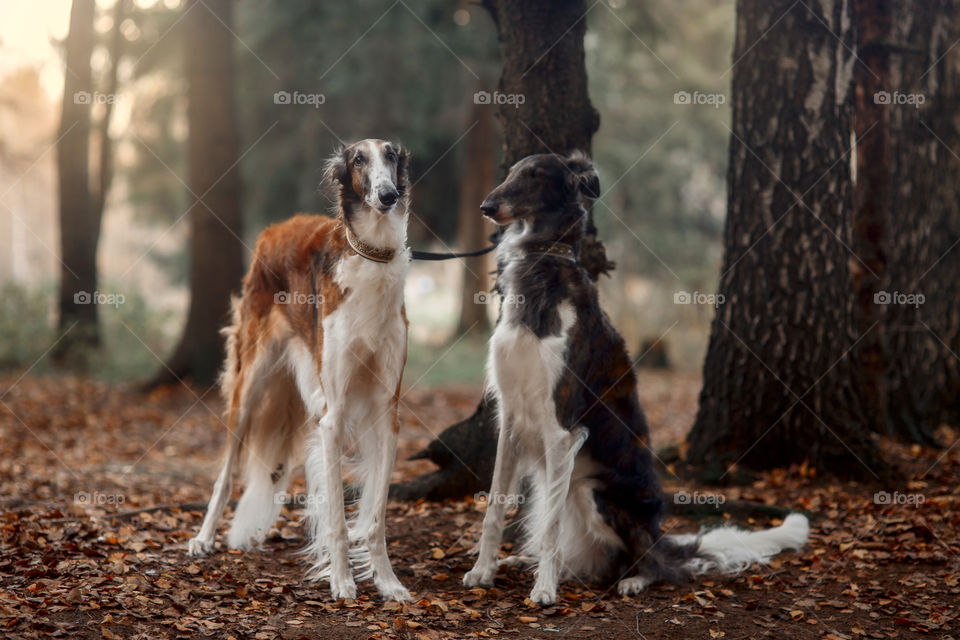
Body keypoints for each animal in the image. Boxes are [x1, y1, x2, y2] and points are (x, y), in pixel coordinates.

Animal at [188, 138, 412, 604]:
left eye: (391, 156)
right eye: (358, 160)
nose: (388, 195)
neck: (372, 257)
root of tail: (273, 230)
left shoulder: (387, 412)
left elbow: (376, 517)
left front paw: (388, 582)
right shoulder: (334, 414)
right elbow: (340, 520)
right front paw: (342, 582)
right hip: (249, 385)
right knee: (225, 473)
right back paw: (203, 538)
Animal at [462, 150, 808, 604]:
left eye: (534, 175)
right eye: (511, 172)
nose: (486, 206)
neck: (544, 267)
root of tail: (660, 536)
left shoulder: (561, 428)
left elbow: (550, 528)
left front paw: (544, 590)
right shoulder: (511, 419)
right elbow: (494, 508)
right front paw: (482, 570)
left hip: (595, 492)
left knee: (656, 565)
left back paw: (632, 579)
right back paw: (526, 561)